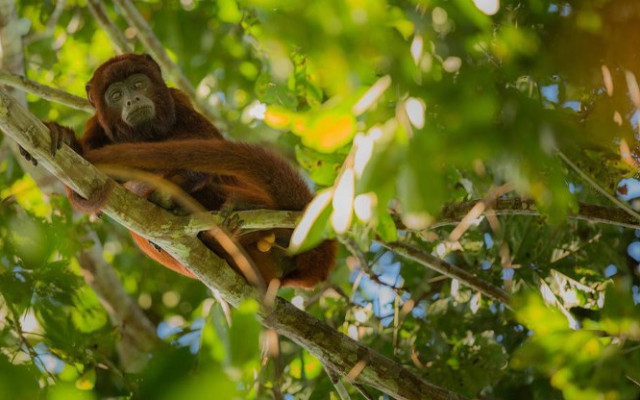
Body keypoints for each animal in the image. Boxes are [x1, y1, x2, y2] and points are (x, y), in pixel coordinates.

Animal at [33, 54, 338, 290]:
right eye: (116, 95)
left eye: (138, 83)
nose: (133, 100)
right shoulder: (96, 127)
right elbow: (82, 190)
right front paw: (66, 138)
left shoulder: (178, 100)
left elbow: (204, 145)